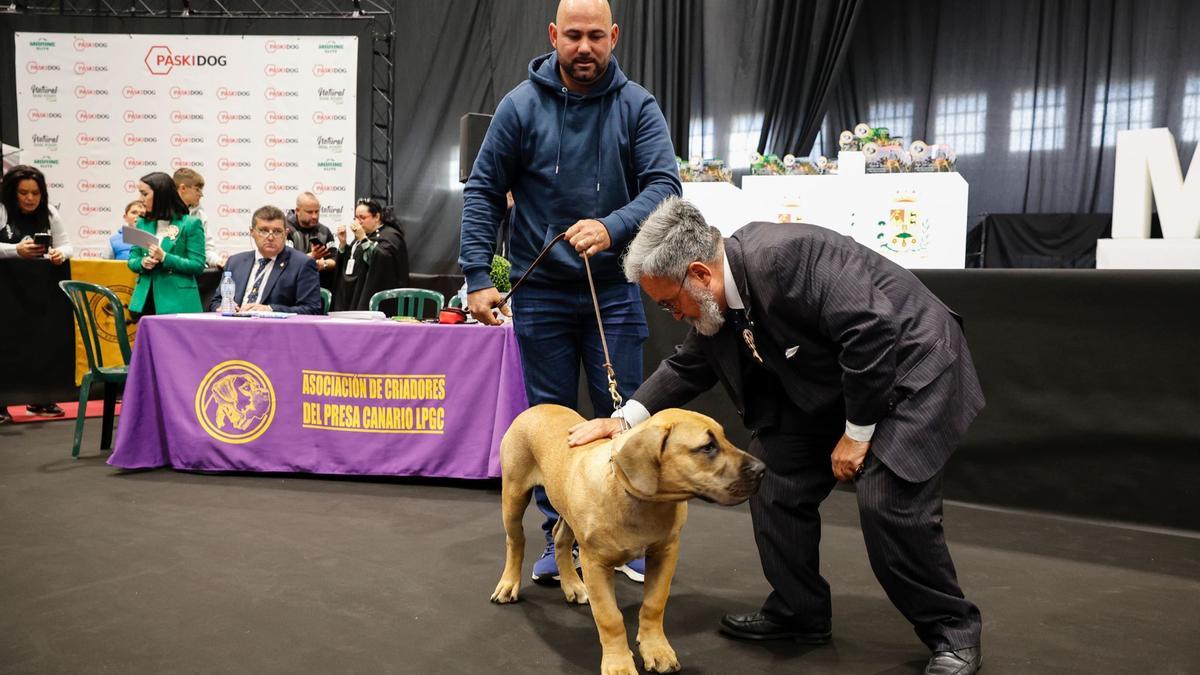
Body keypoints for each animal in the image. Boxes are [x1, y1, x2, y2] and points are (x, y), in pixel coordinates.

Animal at [489, 401, 763, 667]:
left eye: (724, 438)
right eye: (707, 448)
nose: (761, 468)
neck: (644, 501)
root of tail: (536, 408)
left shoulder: (666, 552)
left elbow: (654, 603)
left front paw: (656, 649)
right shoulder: (595, 564)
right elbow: (610, 618)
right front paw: (618, 664)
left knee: (560, 538)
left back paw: (572, 585)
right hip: (513, 495)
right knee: (516, 540)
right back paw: (509, 584)